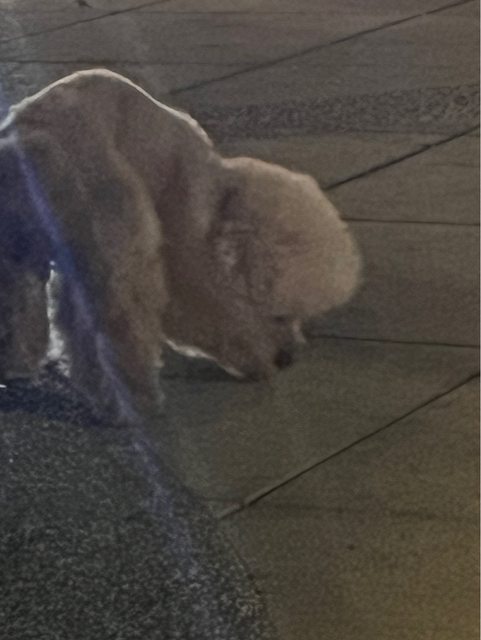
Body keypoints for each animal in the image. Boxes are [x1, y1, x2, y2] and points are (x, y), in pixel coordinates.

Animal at [0, 69, 361, 424]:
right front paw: (254, 359)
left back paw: (15, 365)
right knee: (111, 324)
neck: (220, 195)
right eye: (280, 315)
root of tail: (29, 145)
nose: (288, 358)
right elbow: (213, 310)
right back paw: (132, 400)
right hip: (111, 241)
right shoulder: (186, 247)